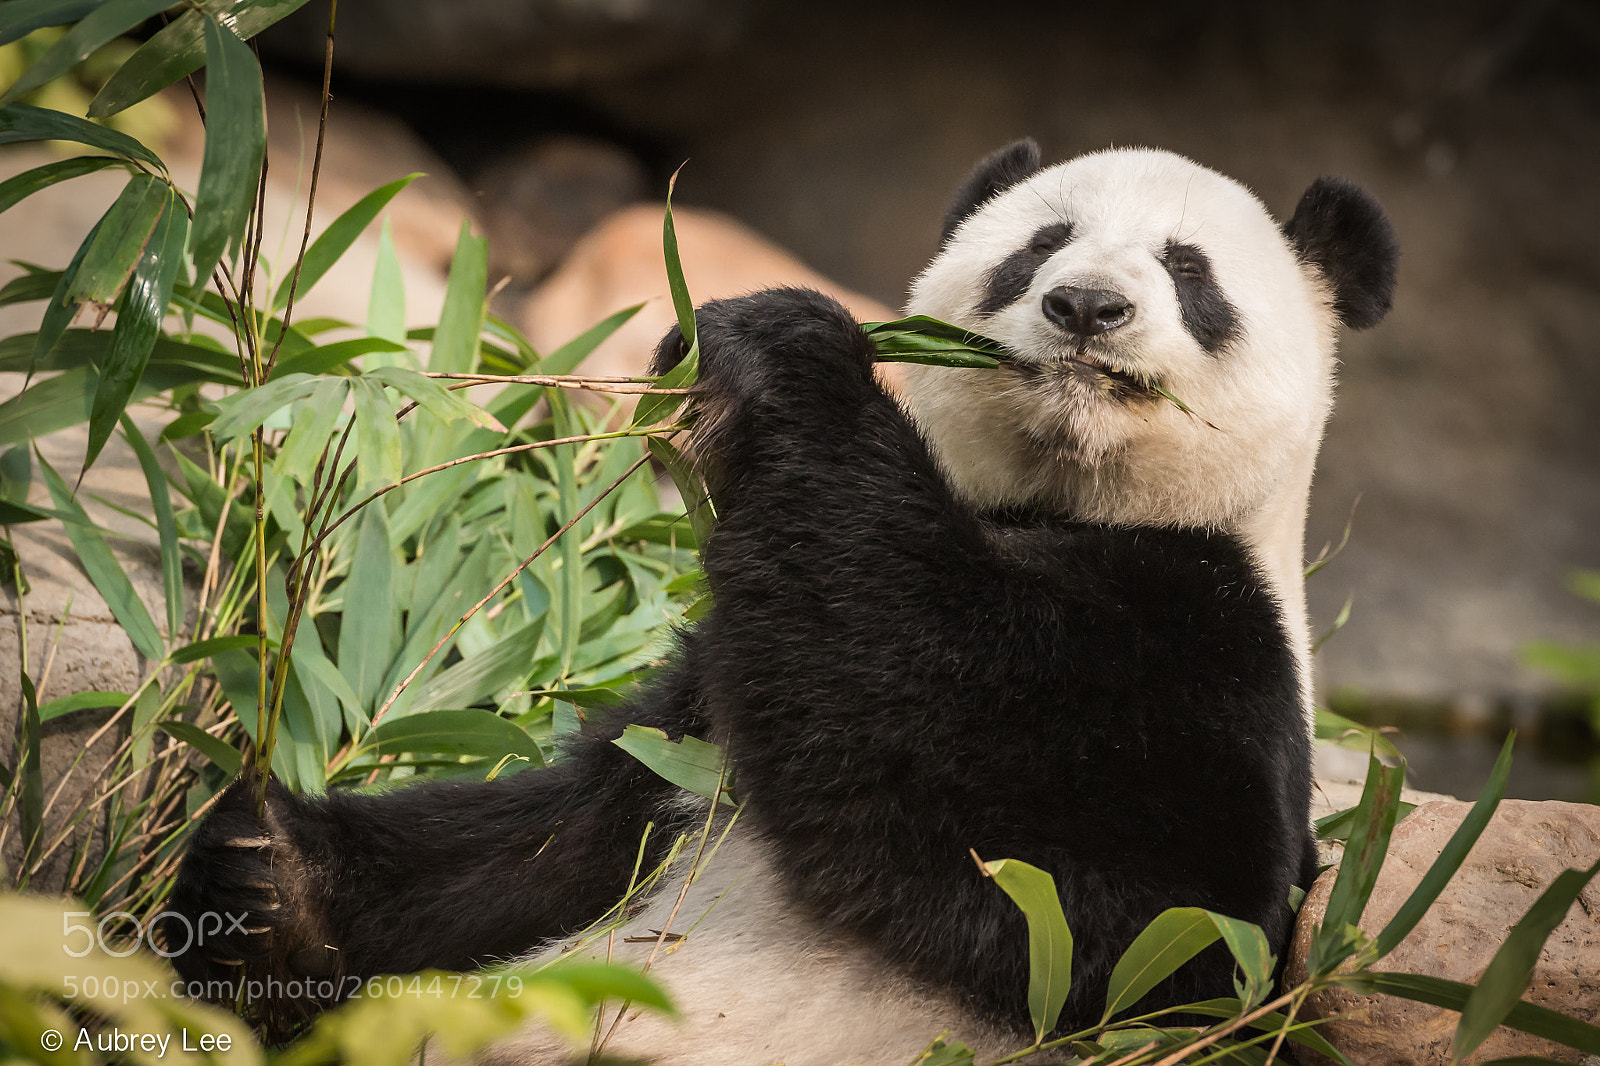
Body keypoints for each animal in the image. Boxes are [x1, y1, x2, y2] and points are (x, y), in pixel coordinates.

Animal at [169, 141, 1397, 1065]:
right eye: (1037, 247)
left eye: (1189, 271)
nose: (1085, 306)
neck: (1059, 506)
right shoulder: (705, 704)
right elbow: (558, 839)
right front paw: (271, 885)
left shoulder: (1211, 646)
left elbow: (1111, 910)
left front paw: (778, 351)